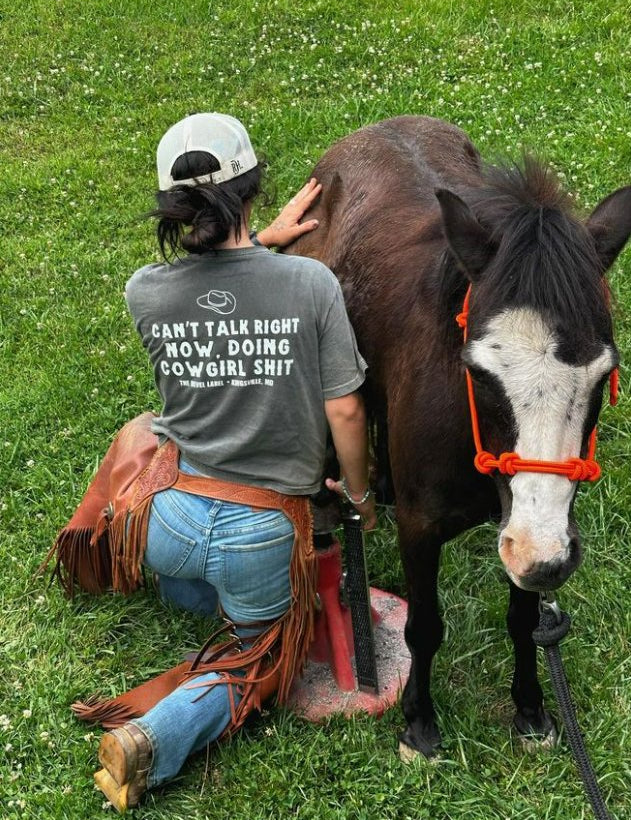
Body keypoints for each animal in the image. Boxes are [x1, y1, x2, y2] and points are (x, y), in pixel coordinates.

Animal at [288, 115, 631, 756]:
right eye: (478, 372)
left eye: (604, 374)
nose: (546, 560)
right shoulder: (421, 530)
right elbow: (423, 626)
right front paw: (420, 723)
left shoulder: (519, 530)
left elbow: (525, 619)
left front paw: (531, 710)